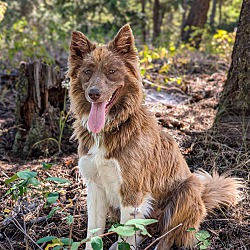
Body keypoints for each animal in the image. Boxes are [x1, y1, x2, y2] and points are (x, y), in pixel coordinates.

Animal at [67, 23, 243, 250]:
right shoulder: (95, 187)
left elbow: (127, 235)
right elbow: (93, 233)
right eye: (87, 71)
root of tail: (203, 198)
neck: (111, 127)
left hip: (187, 189)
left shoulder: (132, 191)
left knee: (167, 236)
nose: (94, 94)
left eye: (112, 71)